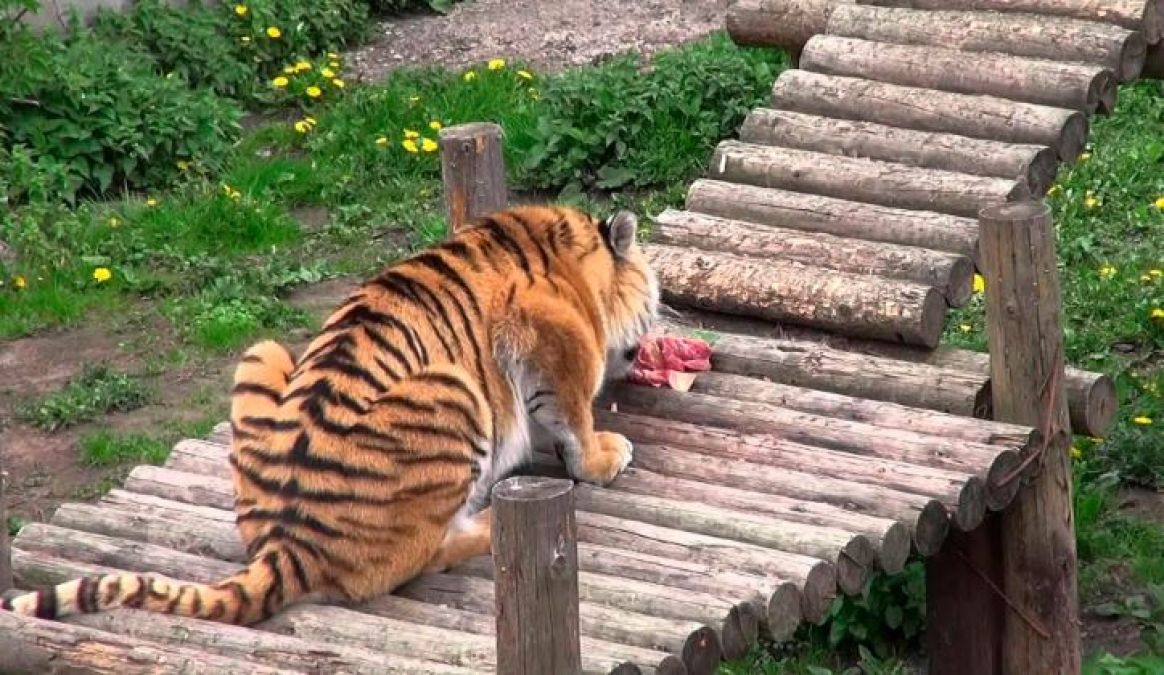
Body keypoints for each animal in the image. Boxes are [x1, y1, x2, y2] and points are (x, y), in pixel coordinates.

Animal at [0, 202, 661, 623]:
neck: (573, 256)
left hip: (263, 351)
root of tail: (287, 545)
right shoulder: (553, 331)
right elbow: (572, 410)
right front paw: (601, 456)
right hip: (454, 388)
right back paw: (490, 522)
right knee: (412, 559)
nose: (651, 340)